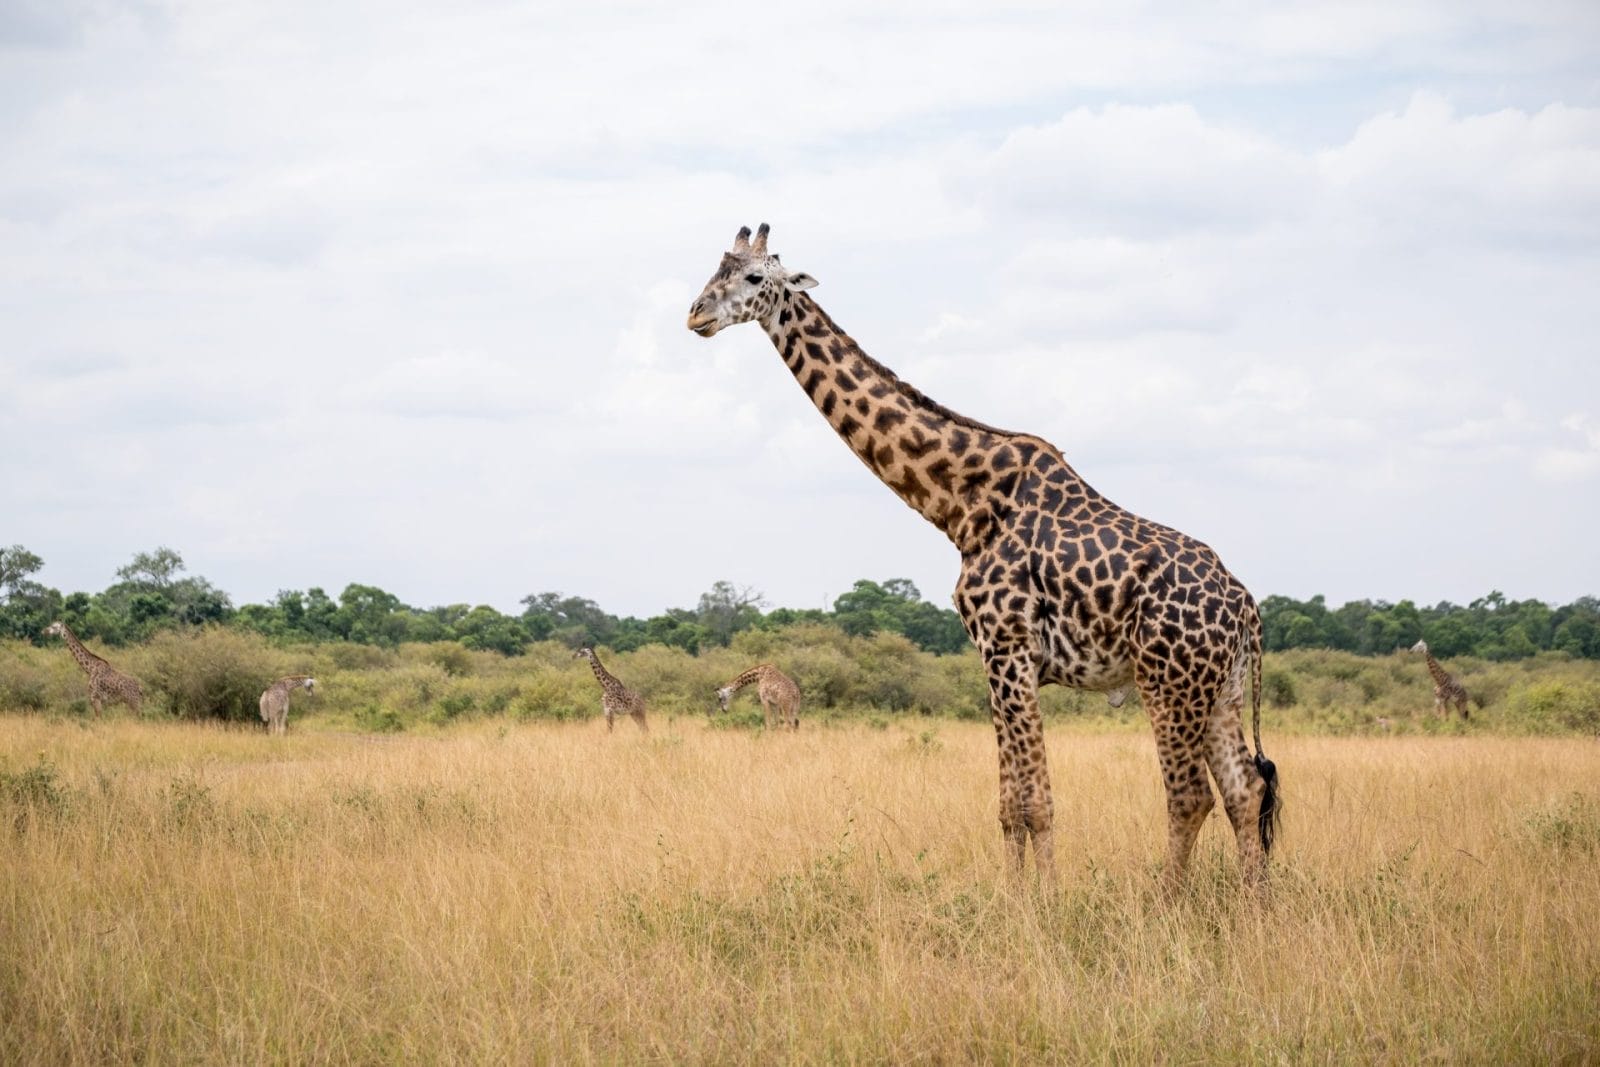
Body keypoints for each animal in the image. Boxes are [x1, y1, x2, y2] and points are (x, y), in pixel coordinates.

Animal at [686, 224, 1279, 891]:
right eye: (714, 269)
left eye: (754, 277)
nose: (696, 314)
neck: (960, 505)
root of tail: (1247, 611)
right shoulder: (993, 659)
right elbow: (1007, 805)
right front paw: (1015, 894)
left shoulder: (1010, 648)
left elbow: (1036, 802)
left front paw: (1046, 900)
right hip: (1221, 688)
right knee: (1244, 789)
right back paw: (1254, 903)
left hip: (1168, 680)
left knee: (1190, 795)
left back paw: (1169, 901)